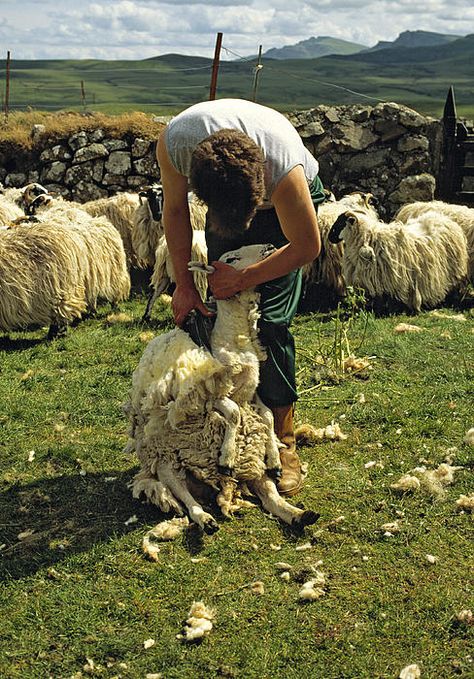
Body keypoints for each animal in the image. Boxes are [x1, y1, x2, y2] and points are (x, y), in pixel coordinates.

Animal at [124, 244, 320, 536]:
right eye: (232, 258)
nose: (269, 247)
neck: (236, 337)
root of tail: (209, 489)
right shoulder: (214, 396)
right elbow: (233, 414)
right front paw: (226, 457)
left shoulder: (252, 394)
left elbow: (268, 417)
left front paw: (274, 458)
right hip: (168, 464)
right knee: (188, 499)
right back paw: (206, 519)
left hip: (252, 467)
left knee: (271, 498)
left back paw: (299, 515)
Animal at [328, 210, 468, 314]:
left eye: (340, 223)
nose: (330, 237)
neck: (367, 237)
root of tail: (445, 219)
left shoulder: (389, 278)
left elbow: (386, 296)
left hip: (453, 269)